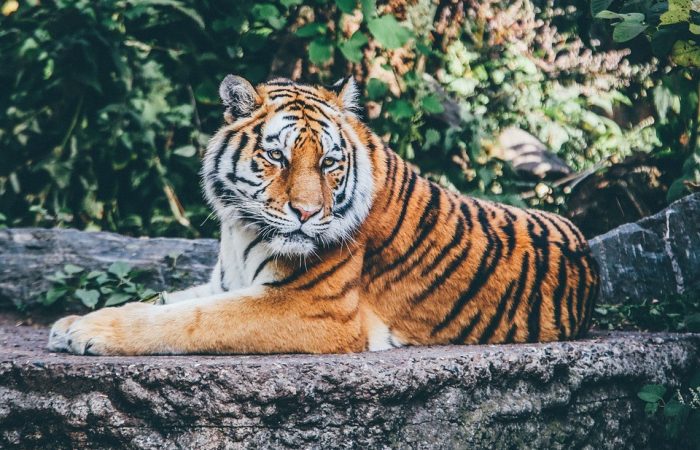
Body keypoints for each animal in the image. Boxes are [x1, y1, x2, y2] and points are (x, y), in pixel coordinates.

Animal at [46, 74, 600, 356]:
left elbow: (190, 320)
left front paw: (89, 332)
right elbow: (166, 301)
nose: (308, 213)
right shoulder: (227, 281)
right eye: (277, 156)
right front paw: (71, 322)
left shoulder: (312, 308)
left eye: (330, 163)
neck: (239, 228)